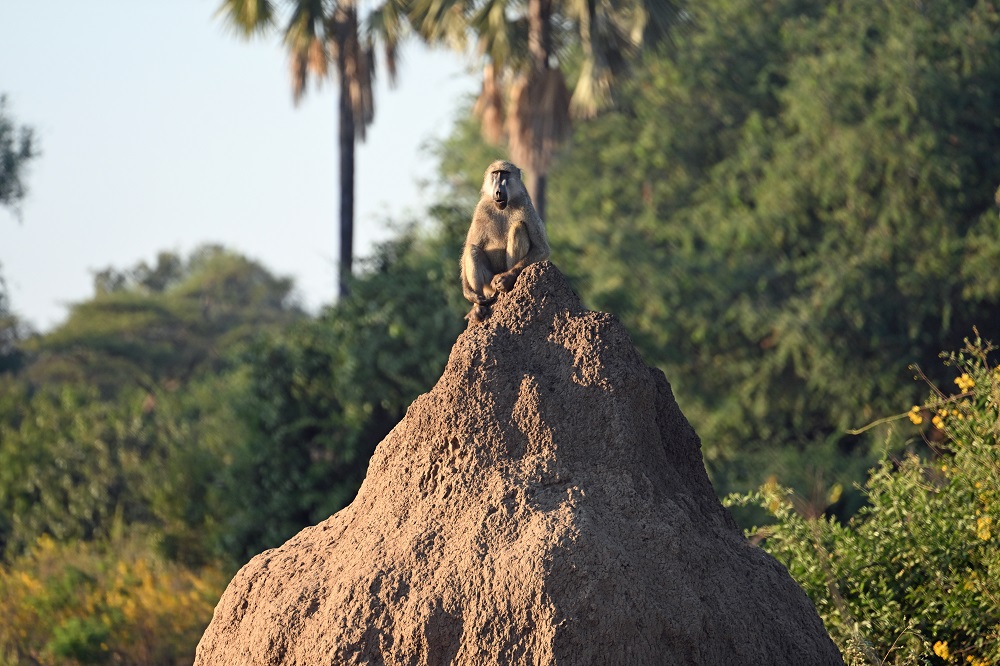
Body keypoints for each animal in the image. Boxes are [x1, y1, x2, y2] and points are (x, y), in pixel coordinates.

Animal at [461, 160, 551, 323]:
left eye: (504, 174)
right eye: (495, 174)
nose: (498, 192)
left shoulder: (526, 205)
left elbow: (542, 248)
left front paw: (506, 278)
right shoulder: (481, 209)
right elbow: (469, 247)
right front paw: (469, 294)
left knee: (518, 227)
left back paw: (507, 286)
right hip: (488, 286)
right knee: (472, 249)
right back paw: (478, 307)